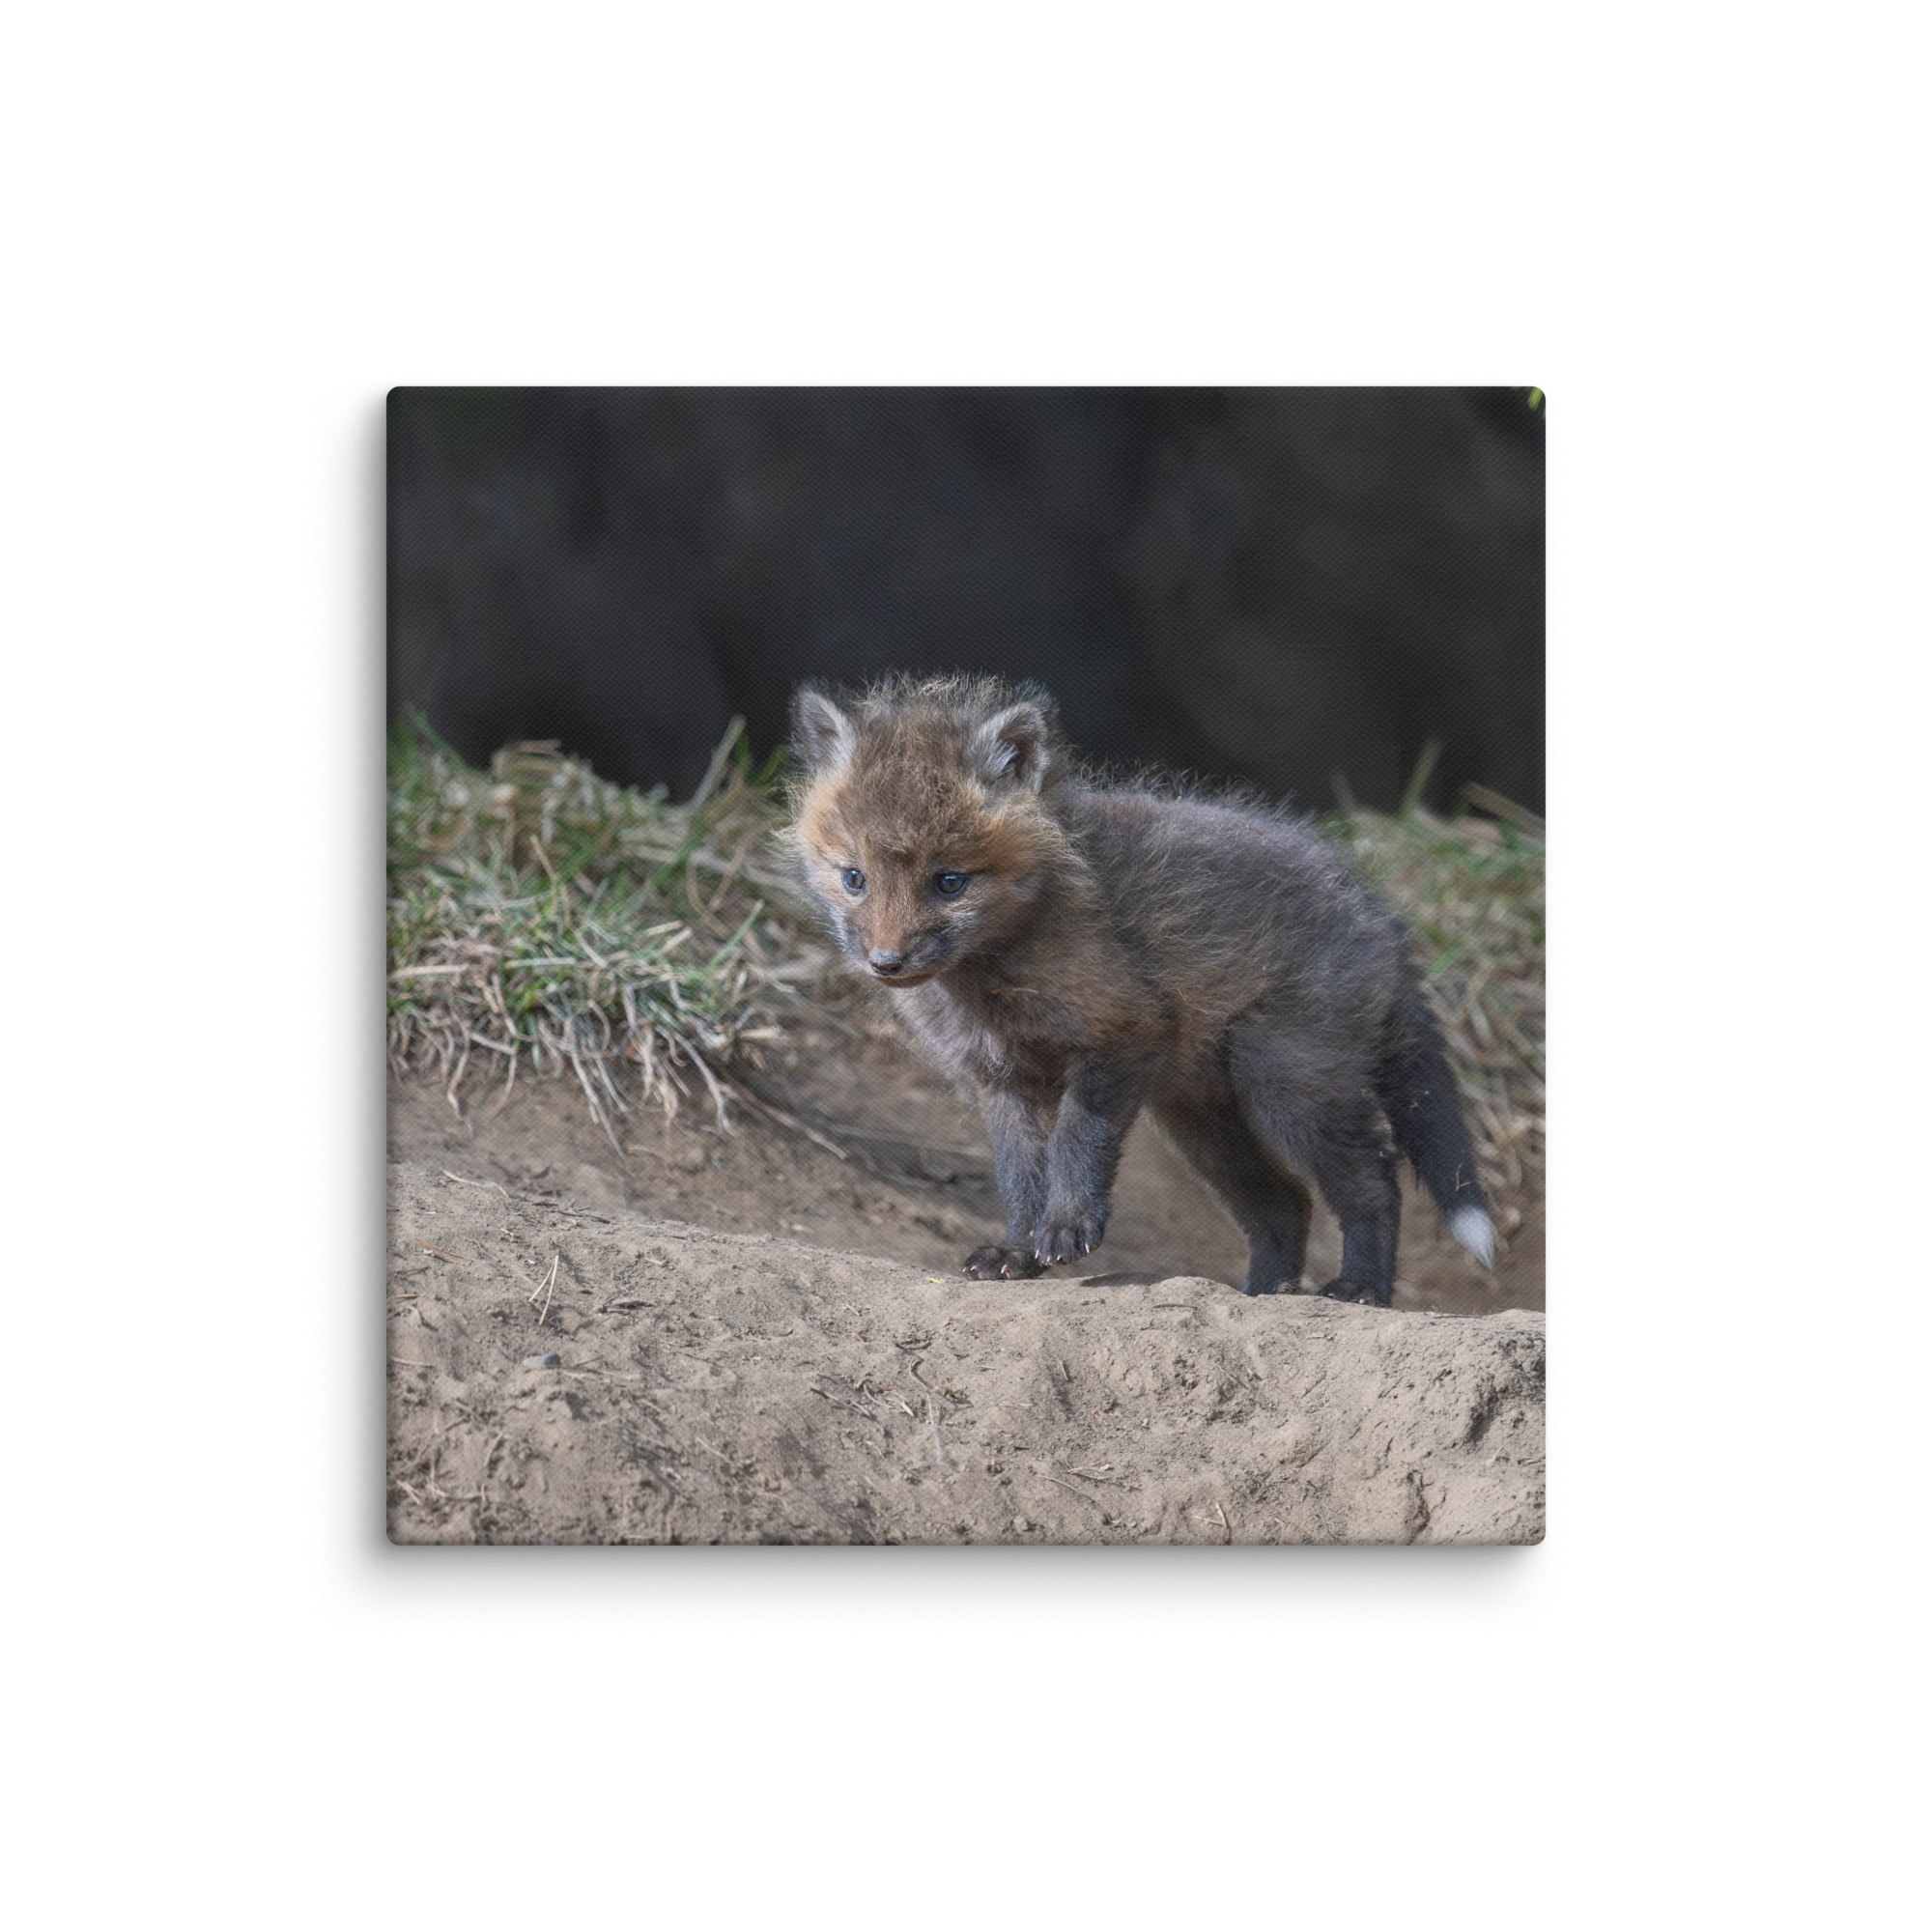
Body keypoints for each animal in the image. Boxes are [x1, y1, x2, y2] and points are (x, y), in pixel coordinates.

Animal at [785, 673, 1496, 1307]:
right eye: (854, 878)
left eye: (950, 882)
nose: (885, 962)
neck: (992, 984)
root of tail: (1380, 915)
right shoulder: (1003, 1078)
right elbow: (1020, 1176)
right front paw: (1016, 1250)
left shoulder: (1122, 1031)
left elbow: (1076, 1141)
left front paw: (1067, 1227)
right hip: (1203, 1122)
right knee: (1285, 1203)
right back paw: (1263, 1293)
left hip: (1287, 1086)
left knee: (1374, 1180)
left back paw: (1361, 1288)